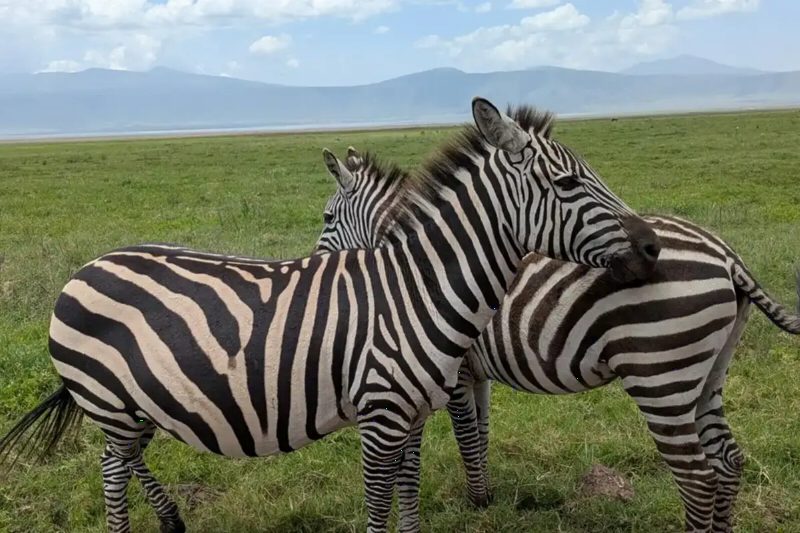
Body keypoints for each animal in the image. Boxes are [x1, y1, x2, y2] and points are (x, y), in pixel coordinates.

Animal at [0, 98, 659, 533]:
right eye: (568, 182)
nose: (653, 246)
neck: (416, 289)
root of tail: (86, 268)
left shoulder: (414, 415)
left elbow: (411, 494)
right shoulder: (380, 417)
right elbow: (381, 500)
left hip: (135, 405)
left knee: (123, 459)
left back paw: (171, 521)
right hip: (109, 403)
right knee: (113, 471)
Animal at [315, 144, 800, 532]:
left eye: (326, 217)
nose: (315, 259)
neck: (429, 269)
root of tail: (727, 256)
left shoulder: (456, 370)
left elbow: (466, 433)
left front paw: (476, 500)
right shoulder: (477, 371)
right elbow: (482, 430)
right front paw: (486, 494)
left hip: (660, 374)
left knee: (697, 477)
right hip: (706, 372)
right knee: (729, 460)